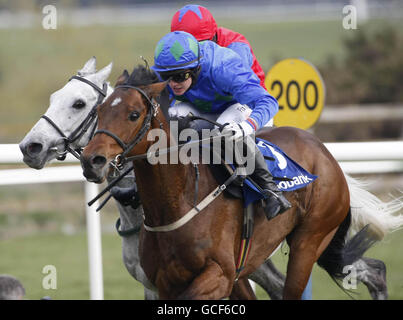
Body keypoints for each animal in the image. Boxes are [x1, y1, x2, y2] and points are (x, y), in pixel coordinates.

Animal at [80, 66, 403, 298]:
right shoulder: (165, 282)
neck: (178, 201)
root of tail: (323, 151)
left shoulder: (219, 275)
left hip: (310, 240)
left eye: (133, 114)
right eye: (99, 112)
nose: (91, 160)